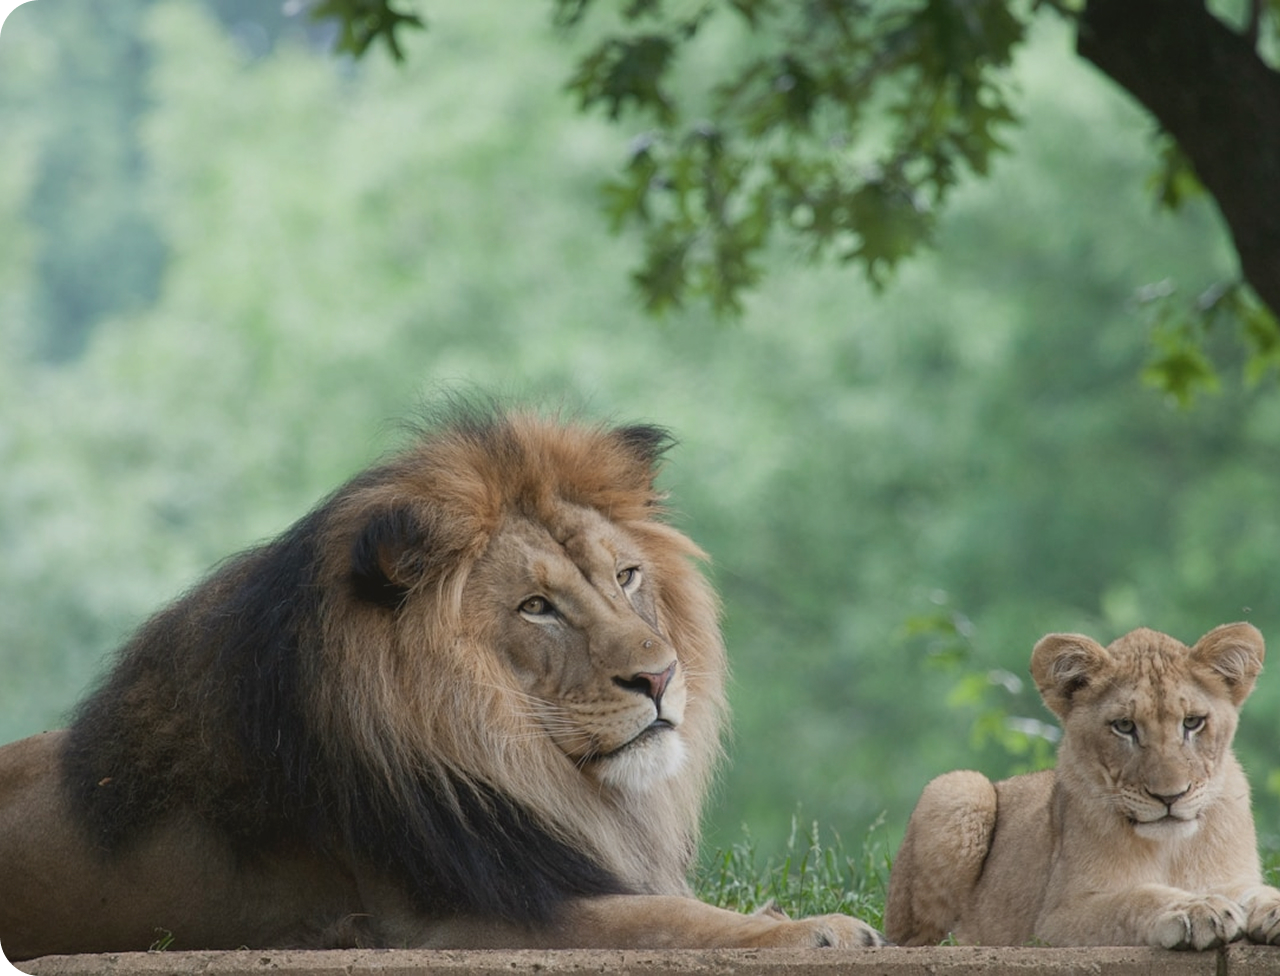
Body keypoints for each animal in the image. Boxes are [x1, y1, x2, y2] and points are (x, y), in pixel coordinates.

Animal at [0, 404, 885, 961]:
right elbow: (666, 919)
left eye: (627, 576)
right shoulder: (449, 919)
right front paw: (818, 928)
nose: (662, 676)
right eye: (536, 607)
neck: (510, 755)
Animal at [885, 622, 1280, 950]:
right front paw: (1195, 908)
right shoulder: (1056, 920)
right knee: (922, 938)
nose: (1170, 796)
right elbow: (1134, 899)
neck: (1171, 848)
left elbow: (1255, 890)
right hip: (960, 787)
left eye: (1193, 722)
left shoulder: (1233, 876)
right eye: (1124, 726)